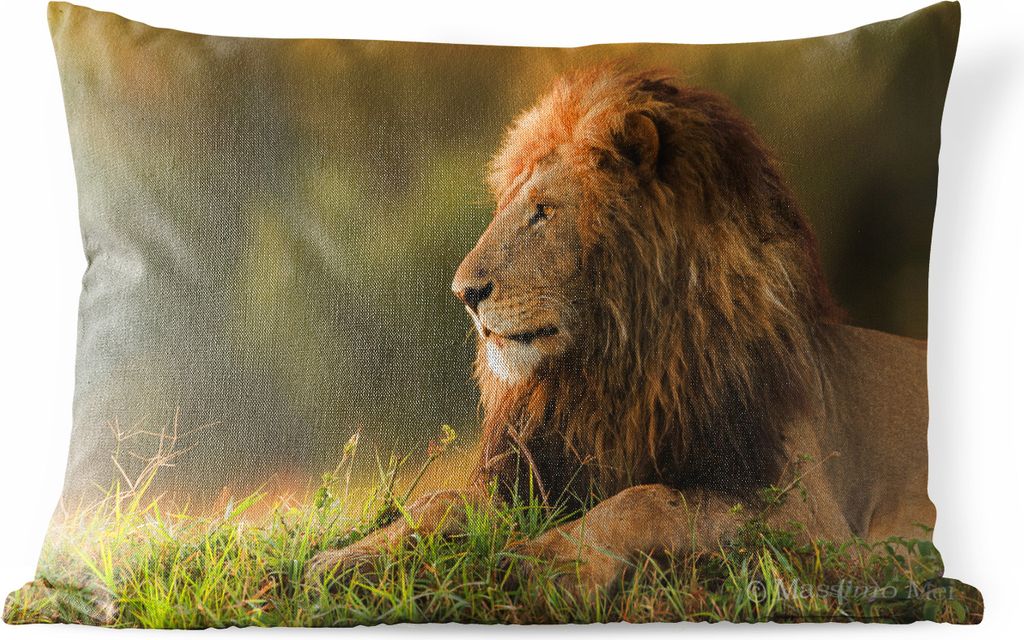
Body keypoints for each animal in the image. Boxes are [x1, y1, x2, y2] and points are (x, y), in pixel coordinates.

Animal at [307, 66, 935, 596]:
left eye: (544, 211)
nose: (464, 293)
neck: (618, 370)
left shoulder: (811, 520)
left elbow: (649, 500)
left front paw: (549, 562)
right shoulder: (539, 473)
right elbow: (440, 500)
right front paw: (342, 560)